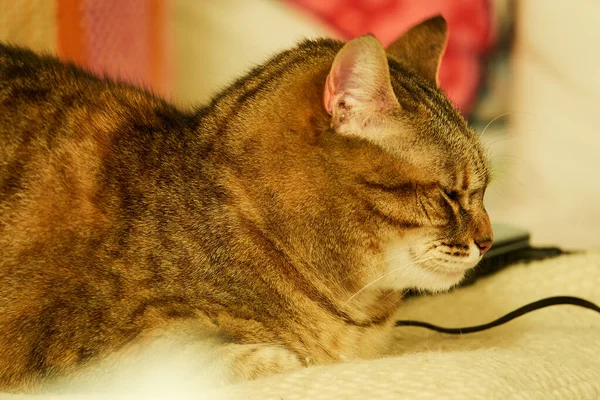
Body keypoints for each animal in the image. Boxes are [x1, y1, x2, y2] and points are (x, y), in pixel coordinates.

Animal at [1, 15, 492, 394]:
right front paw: (283, 357)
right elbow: (232, 358)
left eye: (484, 189)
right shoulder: (85, 356)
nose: (487, 242)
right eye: (449, 194)